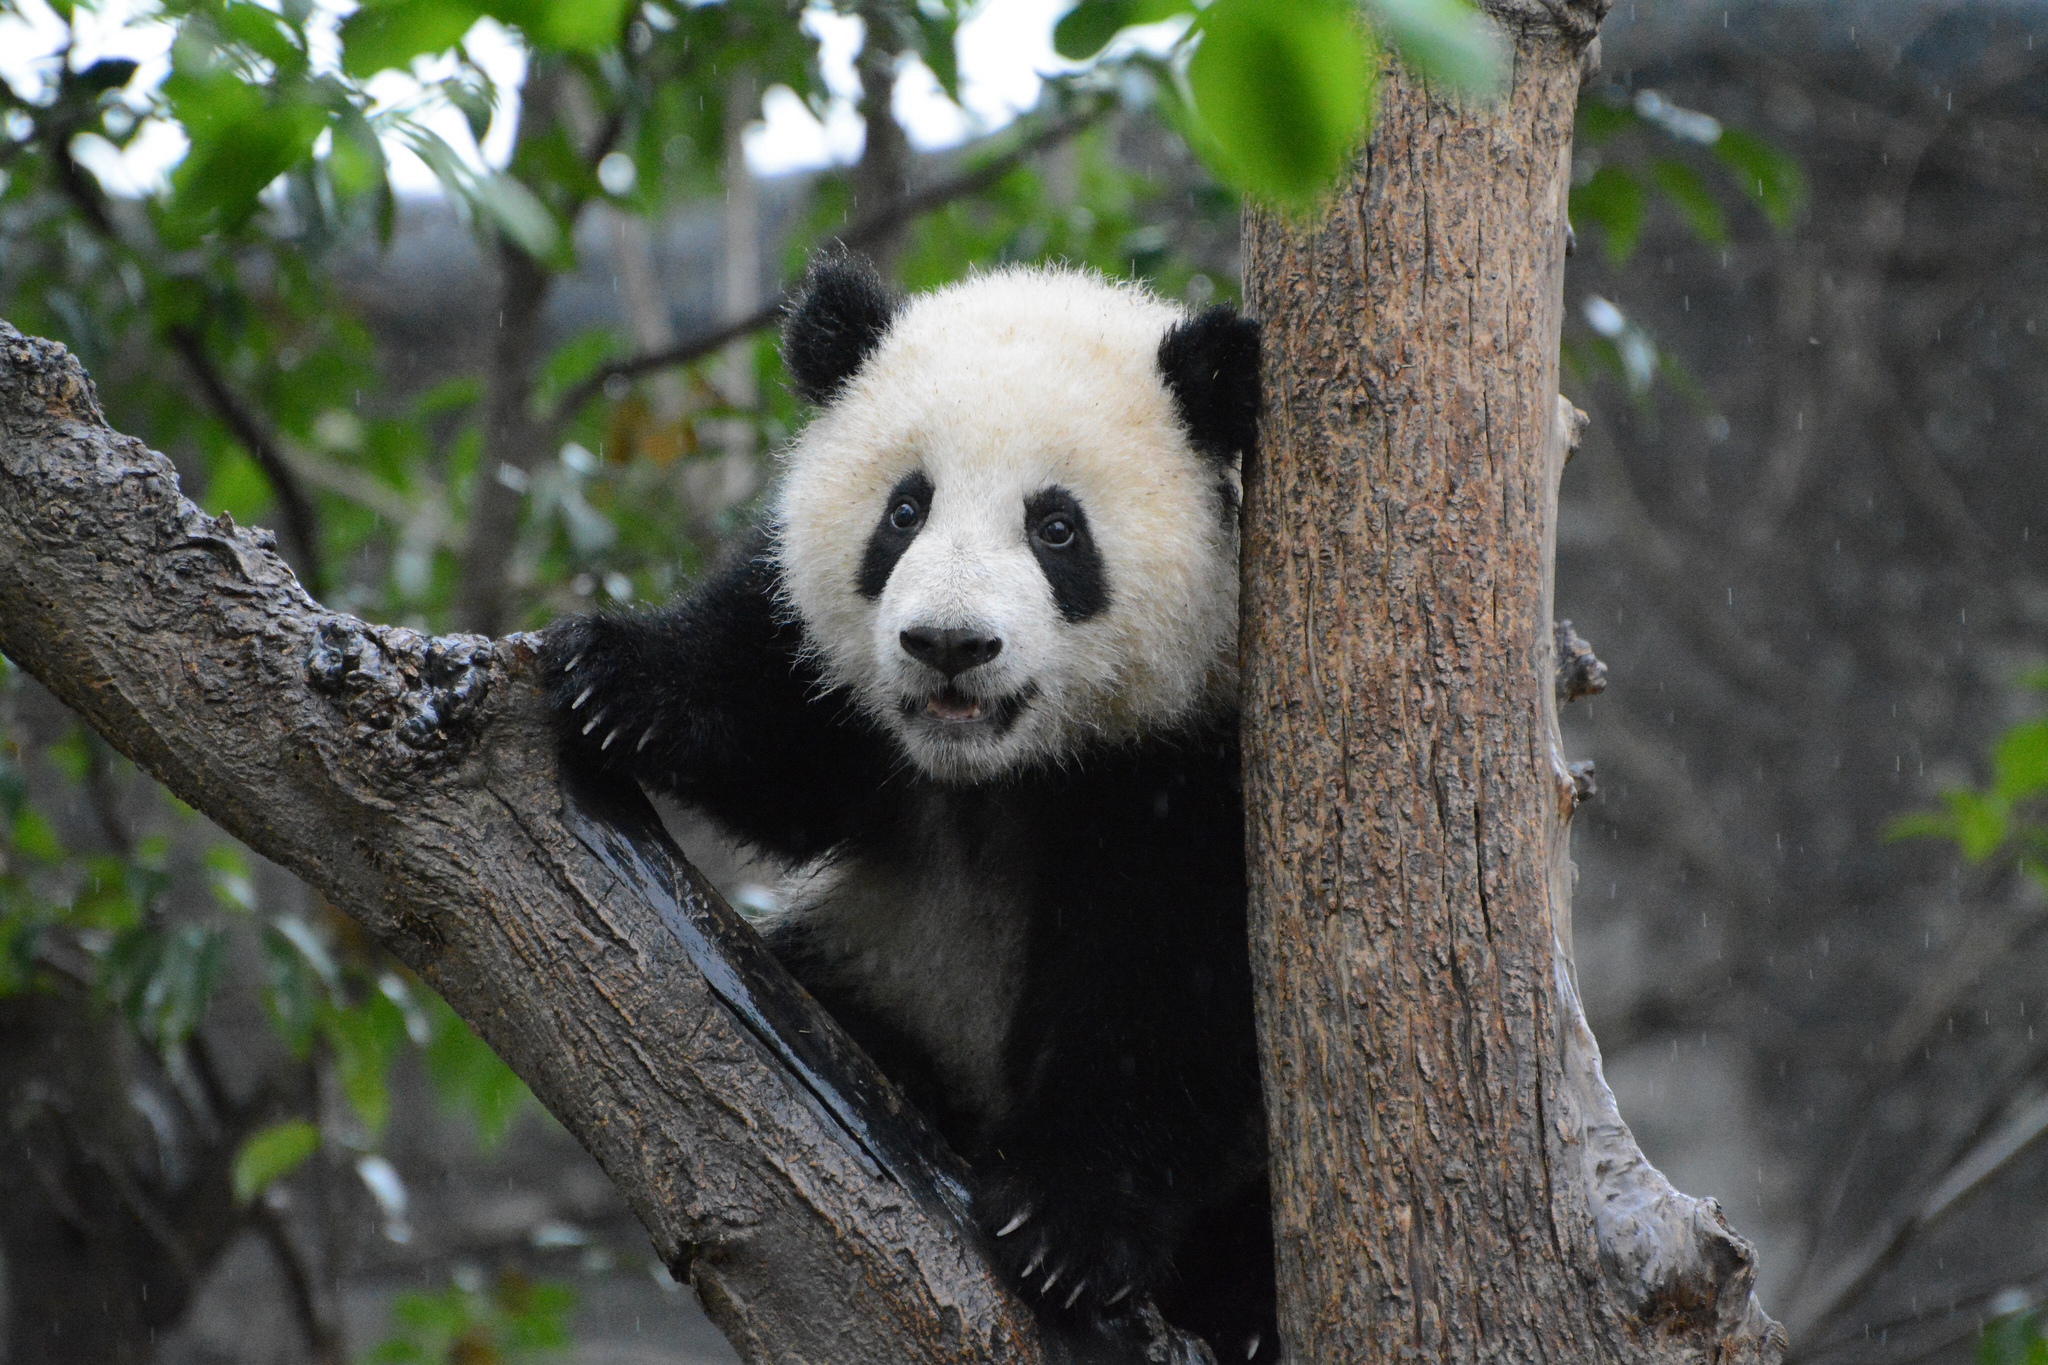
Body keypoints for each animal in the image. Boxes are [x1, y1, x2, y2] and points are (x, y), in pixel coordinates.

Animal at [552, 253, 1269, 1358]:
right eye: (904, 512)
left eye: (1056, 528)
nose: (948, 645)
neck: (1001, 770)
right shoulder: (831, 703)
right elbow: (779, 730)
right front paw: (614, 679)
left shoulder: (1201, 753)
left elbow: (1174, 991)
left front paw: (1067, 1226)